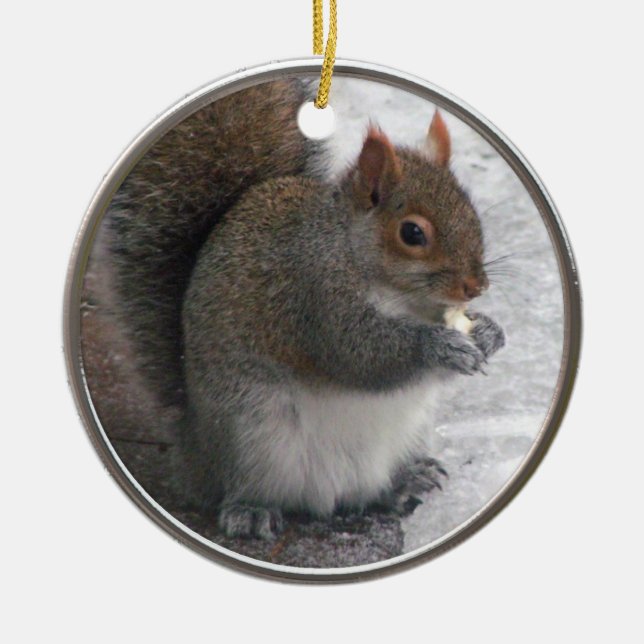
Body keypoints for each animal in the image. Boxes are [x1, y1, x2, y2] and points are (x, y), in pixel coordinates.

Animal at [105, 78, 505, 540]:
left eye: (472, 213)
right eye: (412, 233)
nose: (476, 287)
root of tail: (195, 450)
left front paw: (490, 332)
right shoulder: (312, 295)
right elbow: (359, 355)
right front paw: (440, 347)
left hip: (408, 431)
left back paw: (406, 479)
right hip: (253, 435)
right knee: (242, 487)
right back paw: (250, 510)